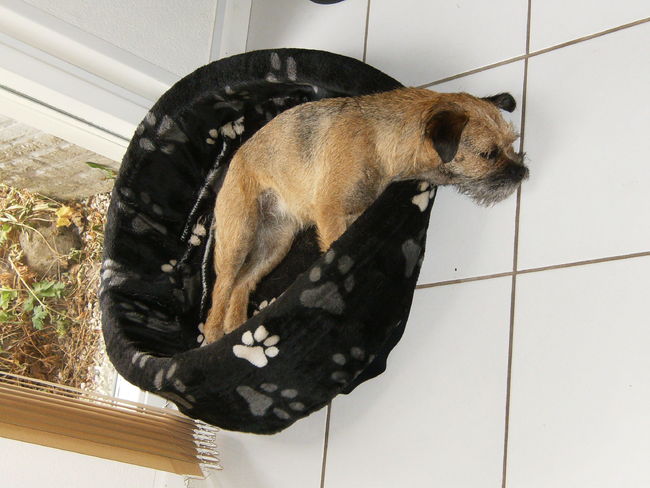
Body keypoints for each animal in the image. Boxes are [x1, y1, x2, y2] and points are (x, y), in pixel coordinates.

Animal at [203, 87, 528, 343]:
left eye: (512, 141)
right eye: (488, 154)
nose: (522, 172)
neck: (379, 139)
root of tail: (232, 162)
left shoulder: (355, 213)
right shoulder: (331, 212)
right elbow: (336, 248)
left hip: (275, 243)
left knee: (242, 284)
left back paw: (237, 328)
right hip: (239, 235)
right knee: (223, 287)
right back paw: (214, 333)